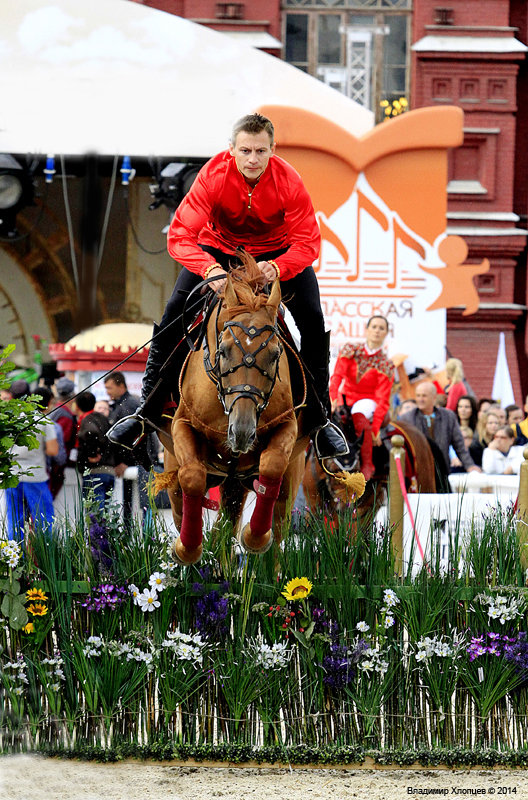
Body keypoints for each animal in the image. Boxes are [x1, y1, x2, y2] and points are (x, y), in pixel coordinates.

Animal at [155, 253, 312, 564]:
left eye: (275, 354)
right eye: (224, 350)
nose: (241, 432)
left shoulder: (287, 424)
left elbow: (273, 463)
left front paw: (254, 537)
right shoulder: (182, 425)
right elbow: (192, 476)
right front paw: (187, 548)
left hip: (270, 483)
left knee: (274, 530)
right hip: (180, 472)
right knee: (183, 503)